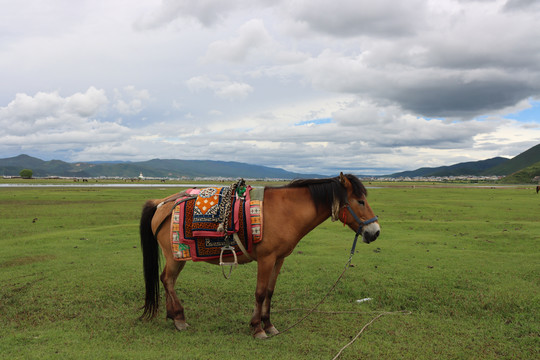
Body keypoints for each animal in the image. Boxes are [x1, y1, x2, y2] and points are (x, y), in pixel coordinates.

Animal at [141, 173, 382, 338]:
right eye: (360, 201)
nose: (375, 232)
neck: (286, 211)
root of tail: (161, 204)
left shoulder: (279, 259)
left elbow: (270, 292)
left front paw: (269, 325)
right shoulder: (266, 259)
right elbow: (259, 293)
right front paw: (257, 328)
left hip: (177, 258)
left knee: (168, 280)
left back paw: (172, 315)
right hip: (175, 256)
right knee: (167, 279)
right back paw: (179, 318)